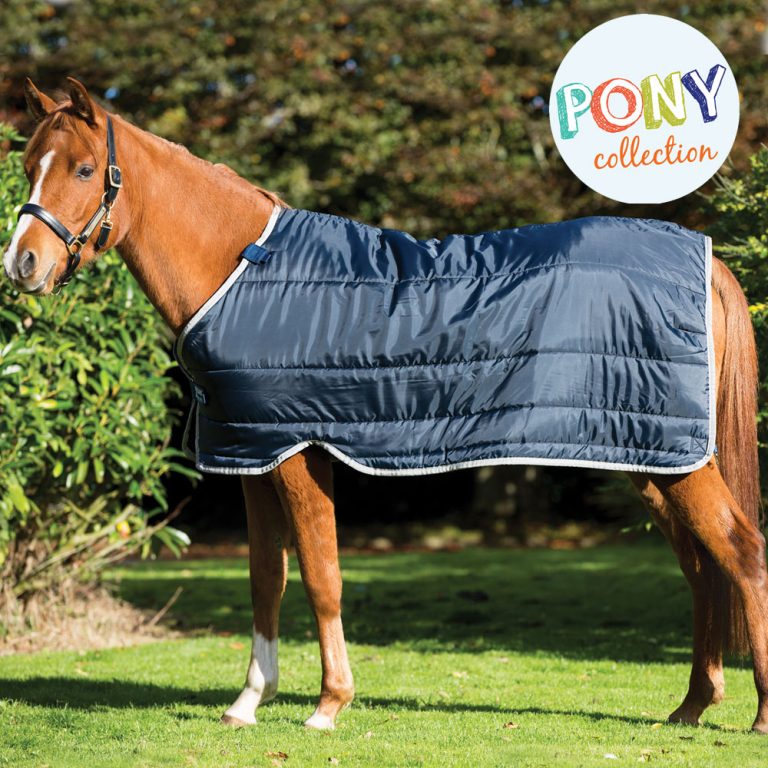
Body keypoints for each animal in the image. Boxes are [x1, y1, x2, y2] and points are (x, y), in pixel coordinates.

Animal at [4, 77, 767, 733]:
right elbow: (266, 579)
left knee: (741, 550)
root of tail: (705, 259)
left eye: (81, 170)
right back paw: (692, 706)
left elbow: (322, 577)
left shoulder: (298, 451)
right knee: (702, 565)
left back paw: (755, 714)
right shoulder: (251, 453)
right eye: (29, 166)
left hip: (676, 460)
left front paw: (328, 704)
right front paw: (249, 701)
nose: (23, 264)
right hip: (649, 455)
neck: (242, 268)